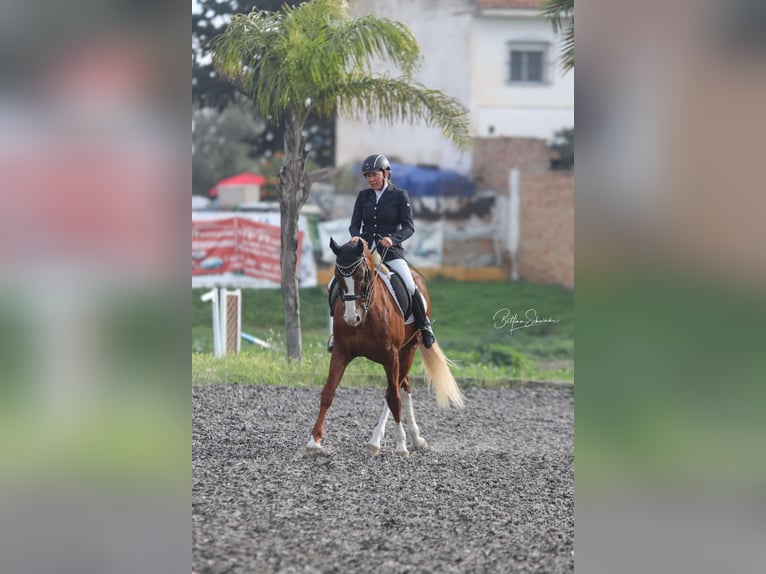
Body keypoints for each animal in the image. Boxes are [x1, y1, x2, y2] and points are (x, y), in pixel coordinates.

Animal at [304, 236, 462, 456]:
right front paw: (314, 441)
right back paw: (414, 438)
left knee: (395, 389)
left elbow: (393, 397)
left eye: (363, 275)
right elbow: (328, 393)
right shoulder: (341, 352)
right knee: (404, 386)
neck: (367, 313)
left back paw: (380, 440)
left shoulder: (390, 355)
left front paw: (401, 446)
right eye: (337, 276)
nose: (352, 318)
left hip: (408, 350)